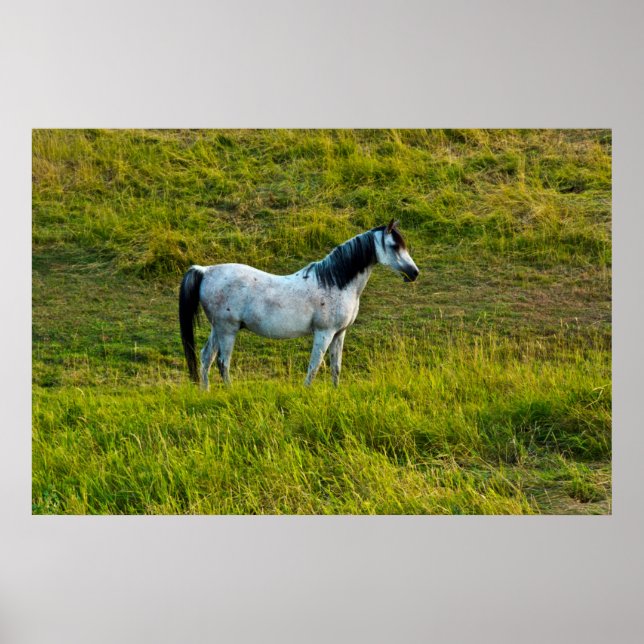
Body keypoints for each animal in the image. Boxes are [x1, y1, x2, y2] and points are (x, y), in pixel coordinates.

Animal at [179, 219, 419, 388]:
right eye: (394, 246)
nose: (414, 273)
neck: (335, 282)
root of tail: (205, 271)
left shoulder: (339, 333)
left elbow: (336, 367)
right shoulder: (324, 333)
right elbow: (315, 366)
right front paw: (307, 391)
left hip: (217, 328)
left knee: (206, 358)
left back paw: (206, 392)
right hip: (228, 330)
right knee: (222, 363)